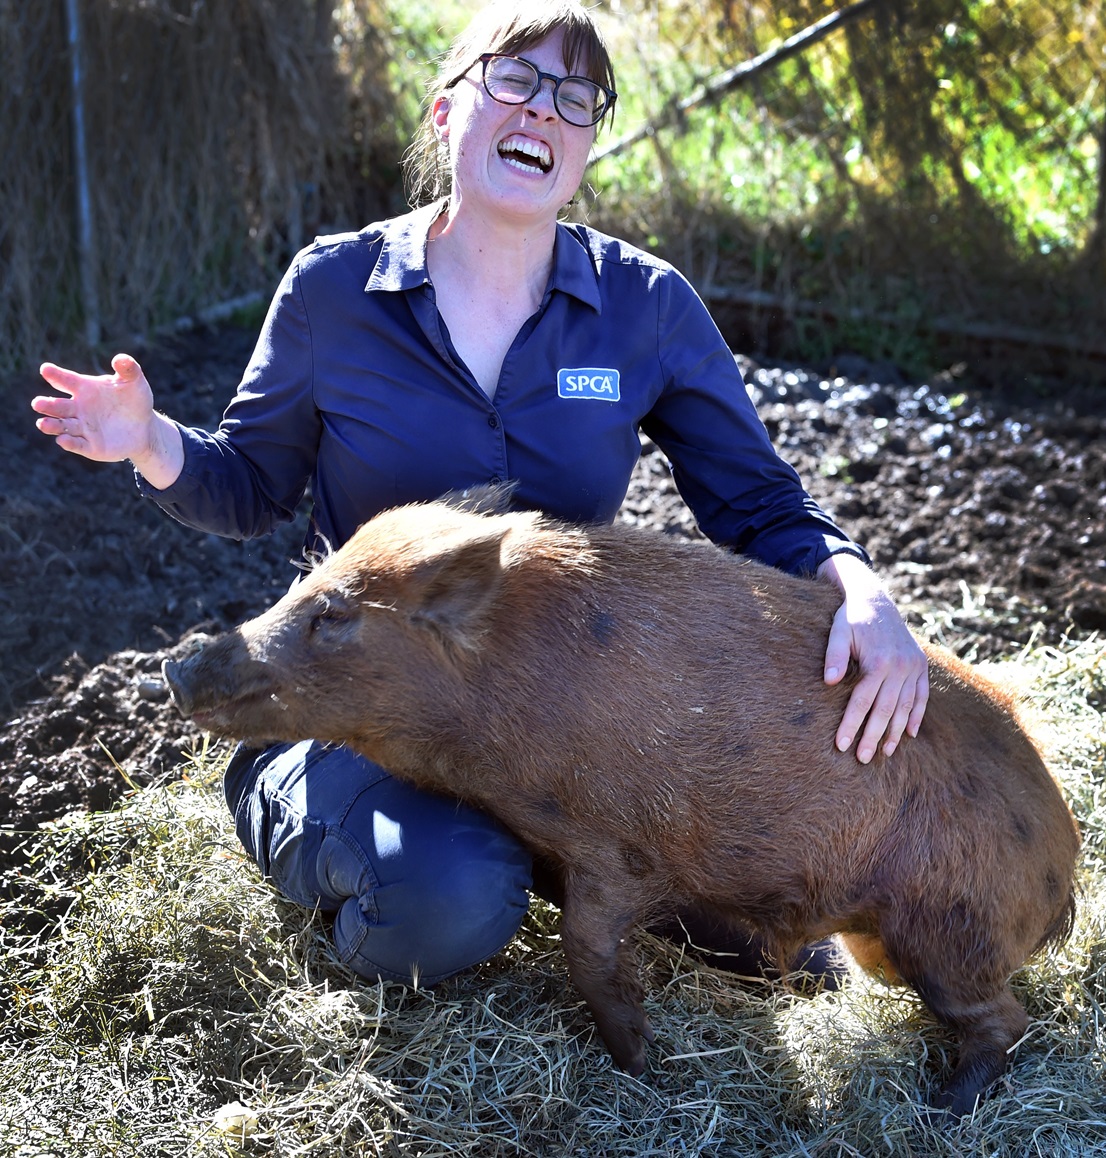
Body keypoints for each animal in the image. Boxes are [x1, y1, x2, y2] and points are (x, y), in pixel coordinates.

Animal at [164, 497, 1079, 1111]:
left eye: (334, 613)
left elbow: (589, 946)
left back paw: (945, 1107)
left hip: (949, 925)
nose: (176, 663)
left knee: (1005, 1021)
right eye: (304, 586)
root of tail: (1064, 868)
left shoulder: (613, 844)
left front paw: (640, 1065)